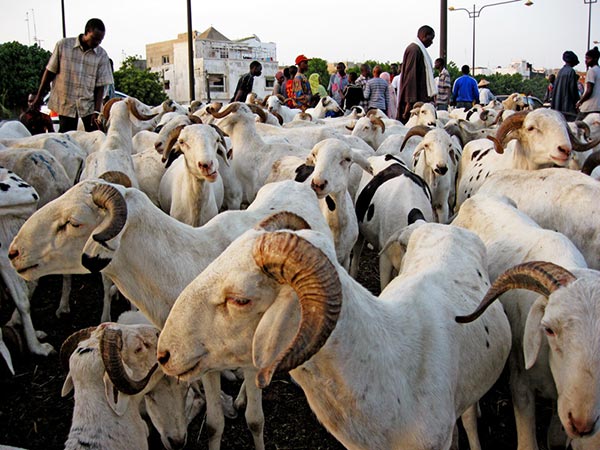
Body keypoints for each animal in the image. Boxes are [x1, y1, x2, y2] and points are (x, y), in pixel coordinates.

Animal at [452, 194, 588, 450]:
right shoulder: (521, 382)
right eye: (549, 329)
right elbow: (527, 443)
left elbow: (555, 438)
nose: (581, 421)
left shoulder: (562, 400)